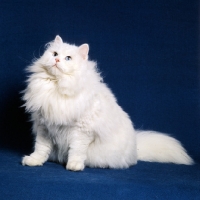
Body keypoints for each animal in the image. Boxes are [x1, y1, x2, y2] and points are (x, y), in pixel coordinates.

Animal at [21, 35, 194, 170]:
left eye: (68, 58)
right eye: (55, 53)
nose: (56, 59)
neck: (56, 87)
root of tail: (135, 150)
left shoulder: (81, 131)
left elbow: (76, 151)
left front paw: (74, 166)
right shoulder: (44, 127)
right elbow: (40, 148)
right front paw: (34, 161)